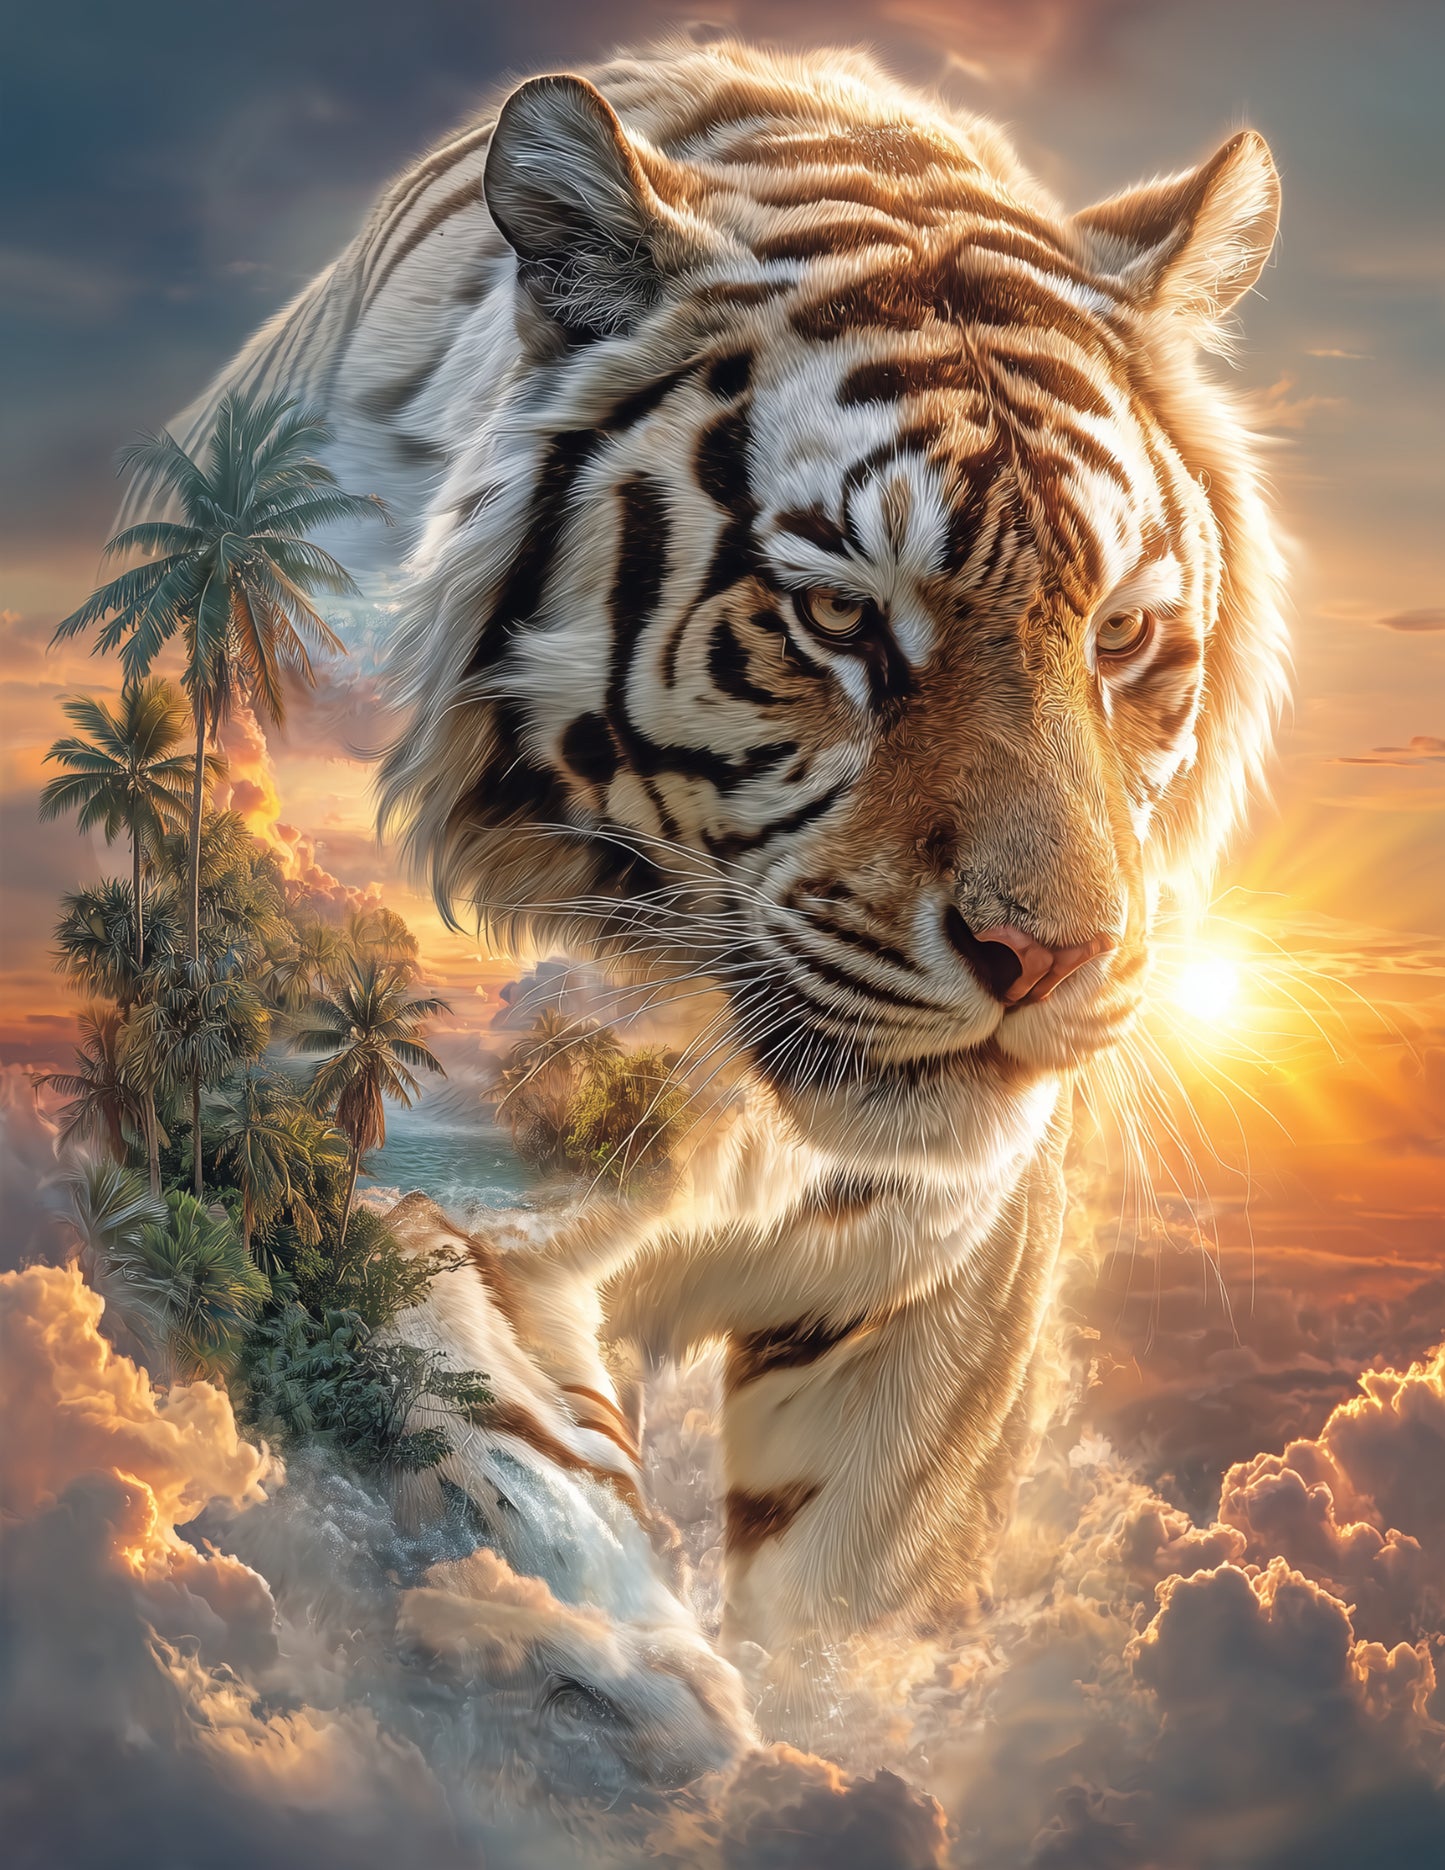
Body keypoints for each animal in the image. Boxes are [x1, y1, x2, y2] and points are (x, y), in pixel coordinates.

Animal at [155, 37, 1287, 1728]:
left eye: (1121, 635)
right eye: (838, 616)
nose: (1051, 955)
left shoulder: (946, 1285)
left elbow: (858, 1595)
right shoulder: (340, 1121)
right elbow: (482, 1404)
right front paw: (633, 1667)